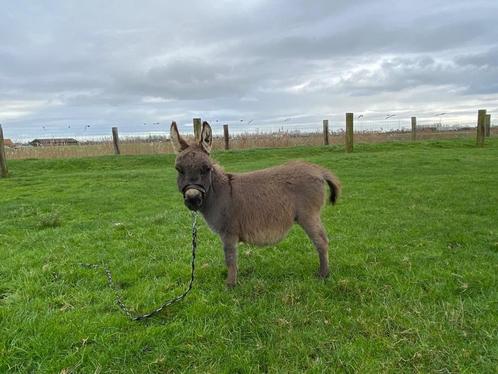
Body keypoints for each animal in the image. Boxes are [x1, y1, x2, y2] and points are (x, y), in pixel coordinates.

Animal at [170, 120, 338, 286]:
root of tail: (318, 170)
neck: (218, 192)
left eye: (207, 168)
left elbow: (230, 258)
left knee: (321, 241)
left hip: (308, 215)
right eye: (179, 169)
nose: (192, 199)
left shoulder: (229, 232)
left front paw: (230, 285)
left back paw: (323, 275)